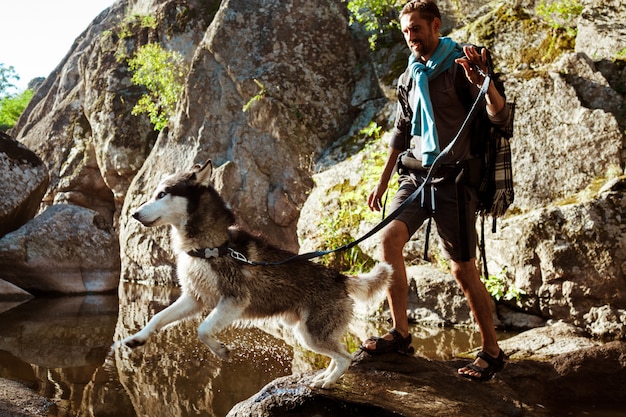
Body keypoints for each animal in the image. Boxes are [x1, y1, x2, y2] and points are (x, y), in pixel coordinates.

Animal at [119, 159, 390, 386]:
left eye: (162, 194)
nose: (134, 213)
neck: (208, 248)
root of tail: (340, 277)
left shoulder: (233, 300)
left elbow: (203, 329)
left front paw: (220, 350)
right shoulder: (193, 298)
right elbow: (157, 318)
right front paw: (138, 338)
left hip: (312, 335)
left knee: (345, 357)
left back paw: (327, 381)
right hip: (306, 334)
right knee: (338, 355)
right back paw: (324, 376)